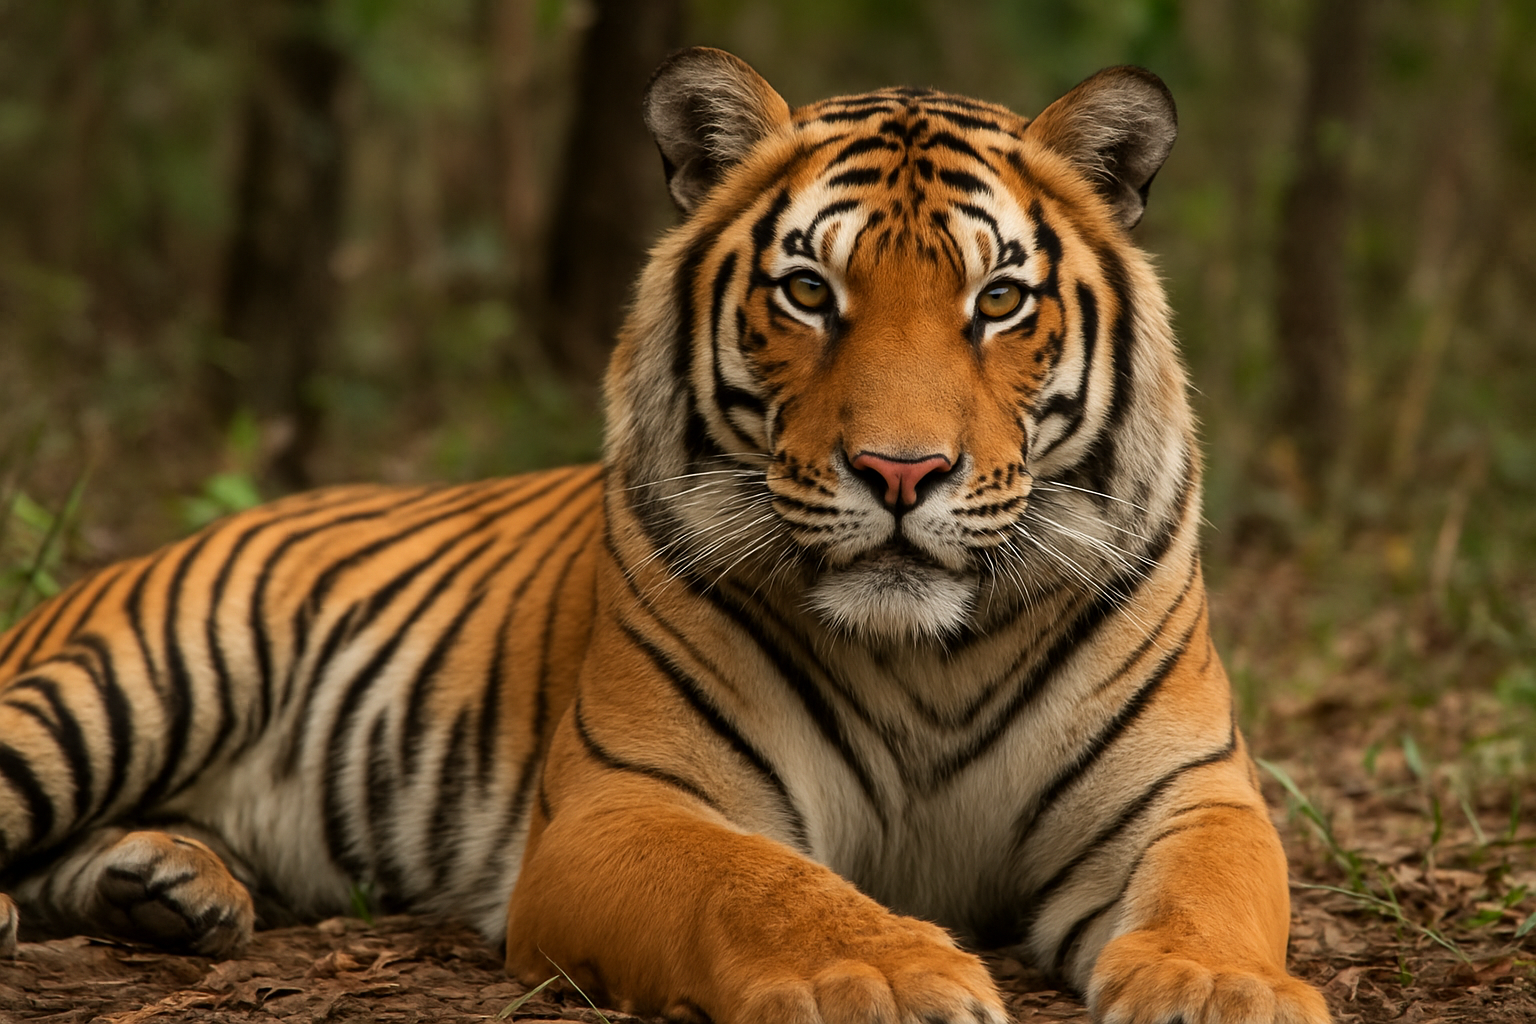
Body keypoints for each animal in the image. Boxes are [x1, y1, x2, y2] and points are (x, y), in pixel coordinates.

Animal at [0, 47, 1331, 1024]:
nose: (902, 471)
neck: (926, 657)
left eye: (997, 299)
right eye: (809, 292)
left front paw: (1225, 990)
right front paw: (887, 972)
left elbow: (1214, 894)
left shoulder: (1187, 793)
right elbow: (762, 886)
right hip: (132, 682)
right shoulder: (626, 804)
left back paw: (167, 888)